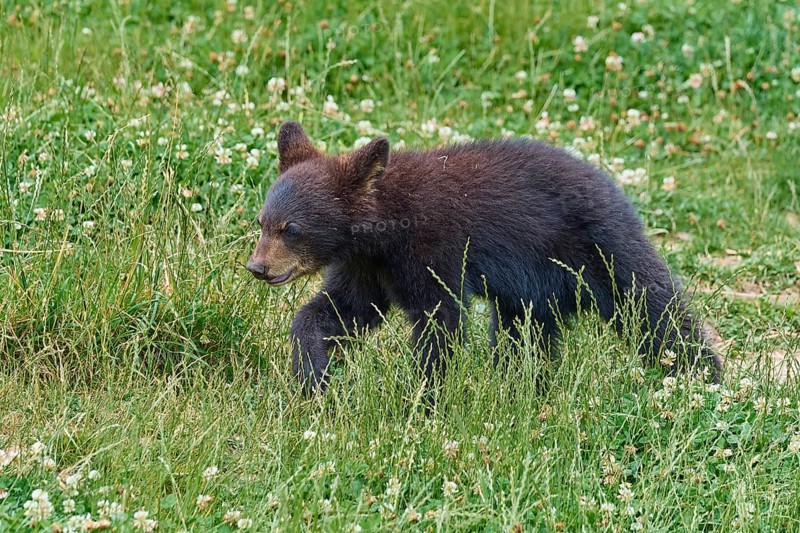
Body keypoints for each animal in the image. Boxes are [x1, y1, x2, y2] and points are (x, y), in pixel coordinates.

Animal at [247, 121, 721, 393]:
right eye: (263, 221)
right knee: (524, 336)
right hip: (533, 292)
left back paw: (703, 381)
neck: (384, 229)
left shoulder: (434, 251)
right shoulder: (367, 268)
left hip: (603, 251)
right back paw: (523, 387)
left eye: (292, 228)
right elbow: (342, 310)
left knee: (654, 309)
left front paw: (425, 398)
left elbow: (439, 321)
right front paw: (313, 374)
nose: (258, 267)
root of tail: (618, 189)